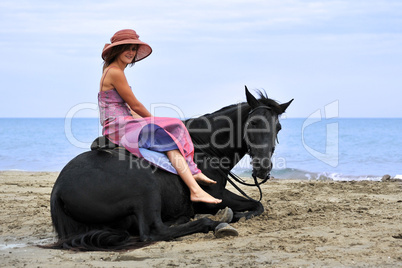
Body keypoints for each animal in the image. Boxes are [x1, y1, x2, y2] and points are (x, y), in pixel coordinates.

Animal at [46, 87, 292, 250]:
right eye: (253, 123)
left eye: (278, 127)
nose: (262, 169)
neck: (204, 147)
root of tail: (58, 190)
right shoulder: (214, 196)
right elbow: (257, 205)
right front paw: (236, 215)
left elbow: (257, 204)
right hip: (146, 189)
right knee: (154, 232)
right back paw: (214, 223)